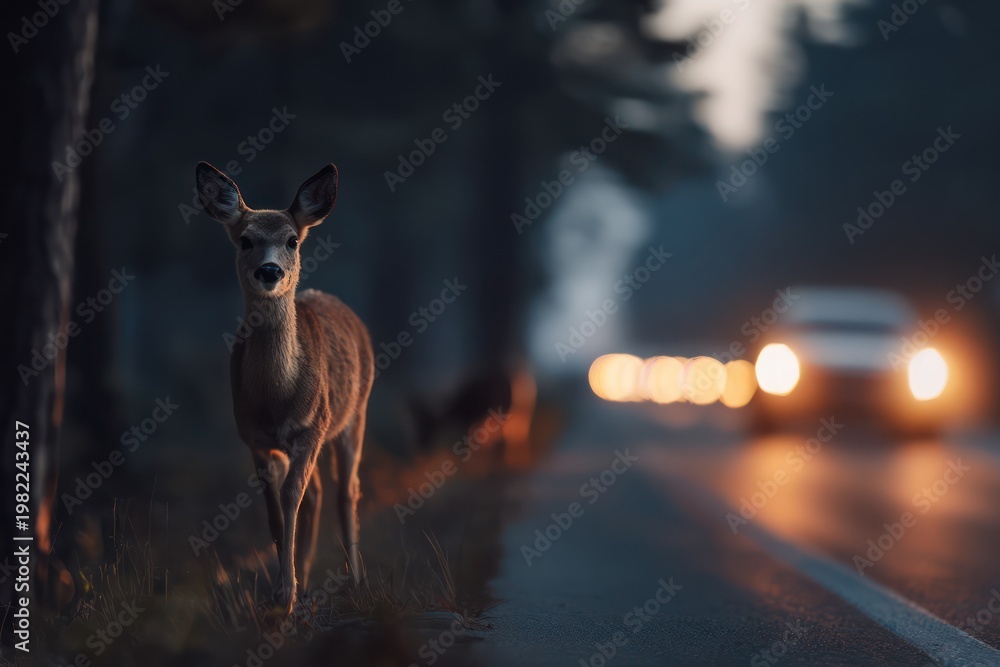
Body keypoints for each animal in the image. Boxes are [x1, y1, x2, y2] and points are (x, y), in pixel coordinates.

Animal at [195, 161, 373, 615]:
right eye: (245, 239)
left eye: (292, 240)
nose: (270, 271)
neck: (277, 399)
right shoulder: (255, 440)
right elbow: (276, 508)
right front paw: (284, 590)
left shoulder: (313, 427)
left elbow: (292, 493)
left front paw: (285, 593)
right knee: (319, 492)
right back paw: (308, 579)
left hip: (355, 414)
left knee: (346, 491)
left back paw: (356, 582)